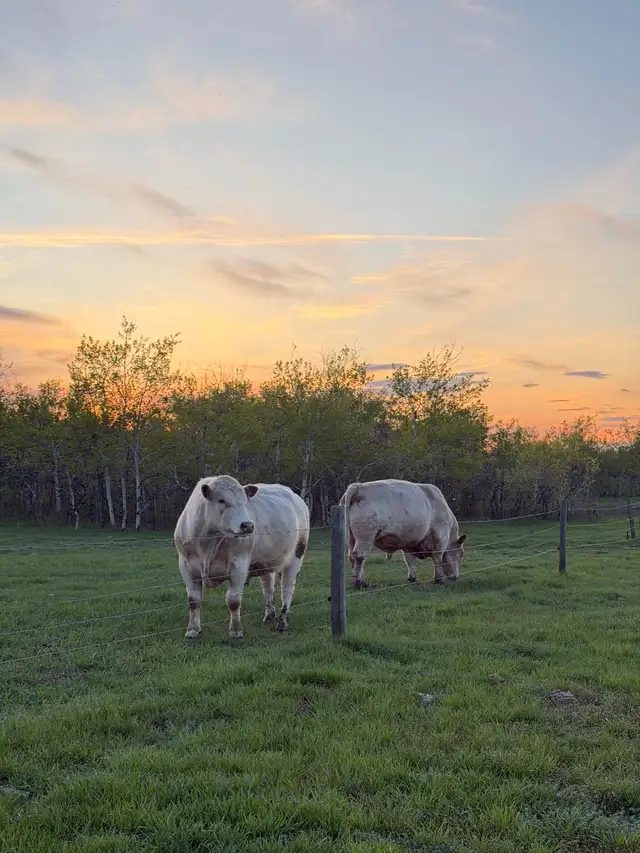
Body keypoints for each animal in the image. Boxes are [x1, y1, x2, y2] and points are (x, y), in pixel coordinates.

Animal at [174, 475, 310, 640]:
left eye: (245, 501)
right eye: (221, 500)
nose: (248, 525)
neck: (208, 543)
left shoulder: (239, 565)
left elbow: (233, 601)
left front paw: (236, 632)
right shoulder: (186, 566)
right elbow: (194, 601)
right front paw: (192, 630)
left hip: (297, 553)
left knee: (288, 587)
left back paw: (282, 622)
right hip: (265, 561)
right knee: (268, 587)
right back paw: (269, 616)